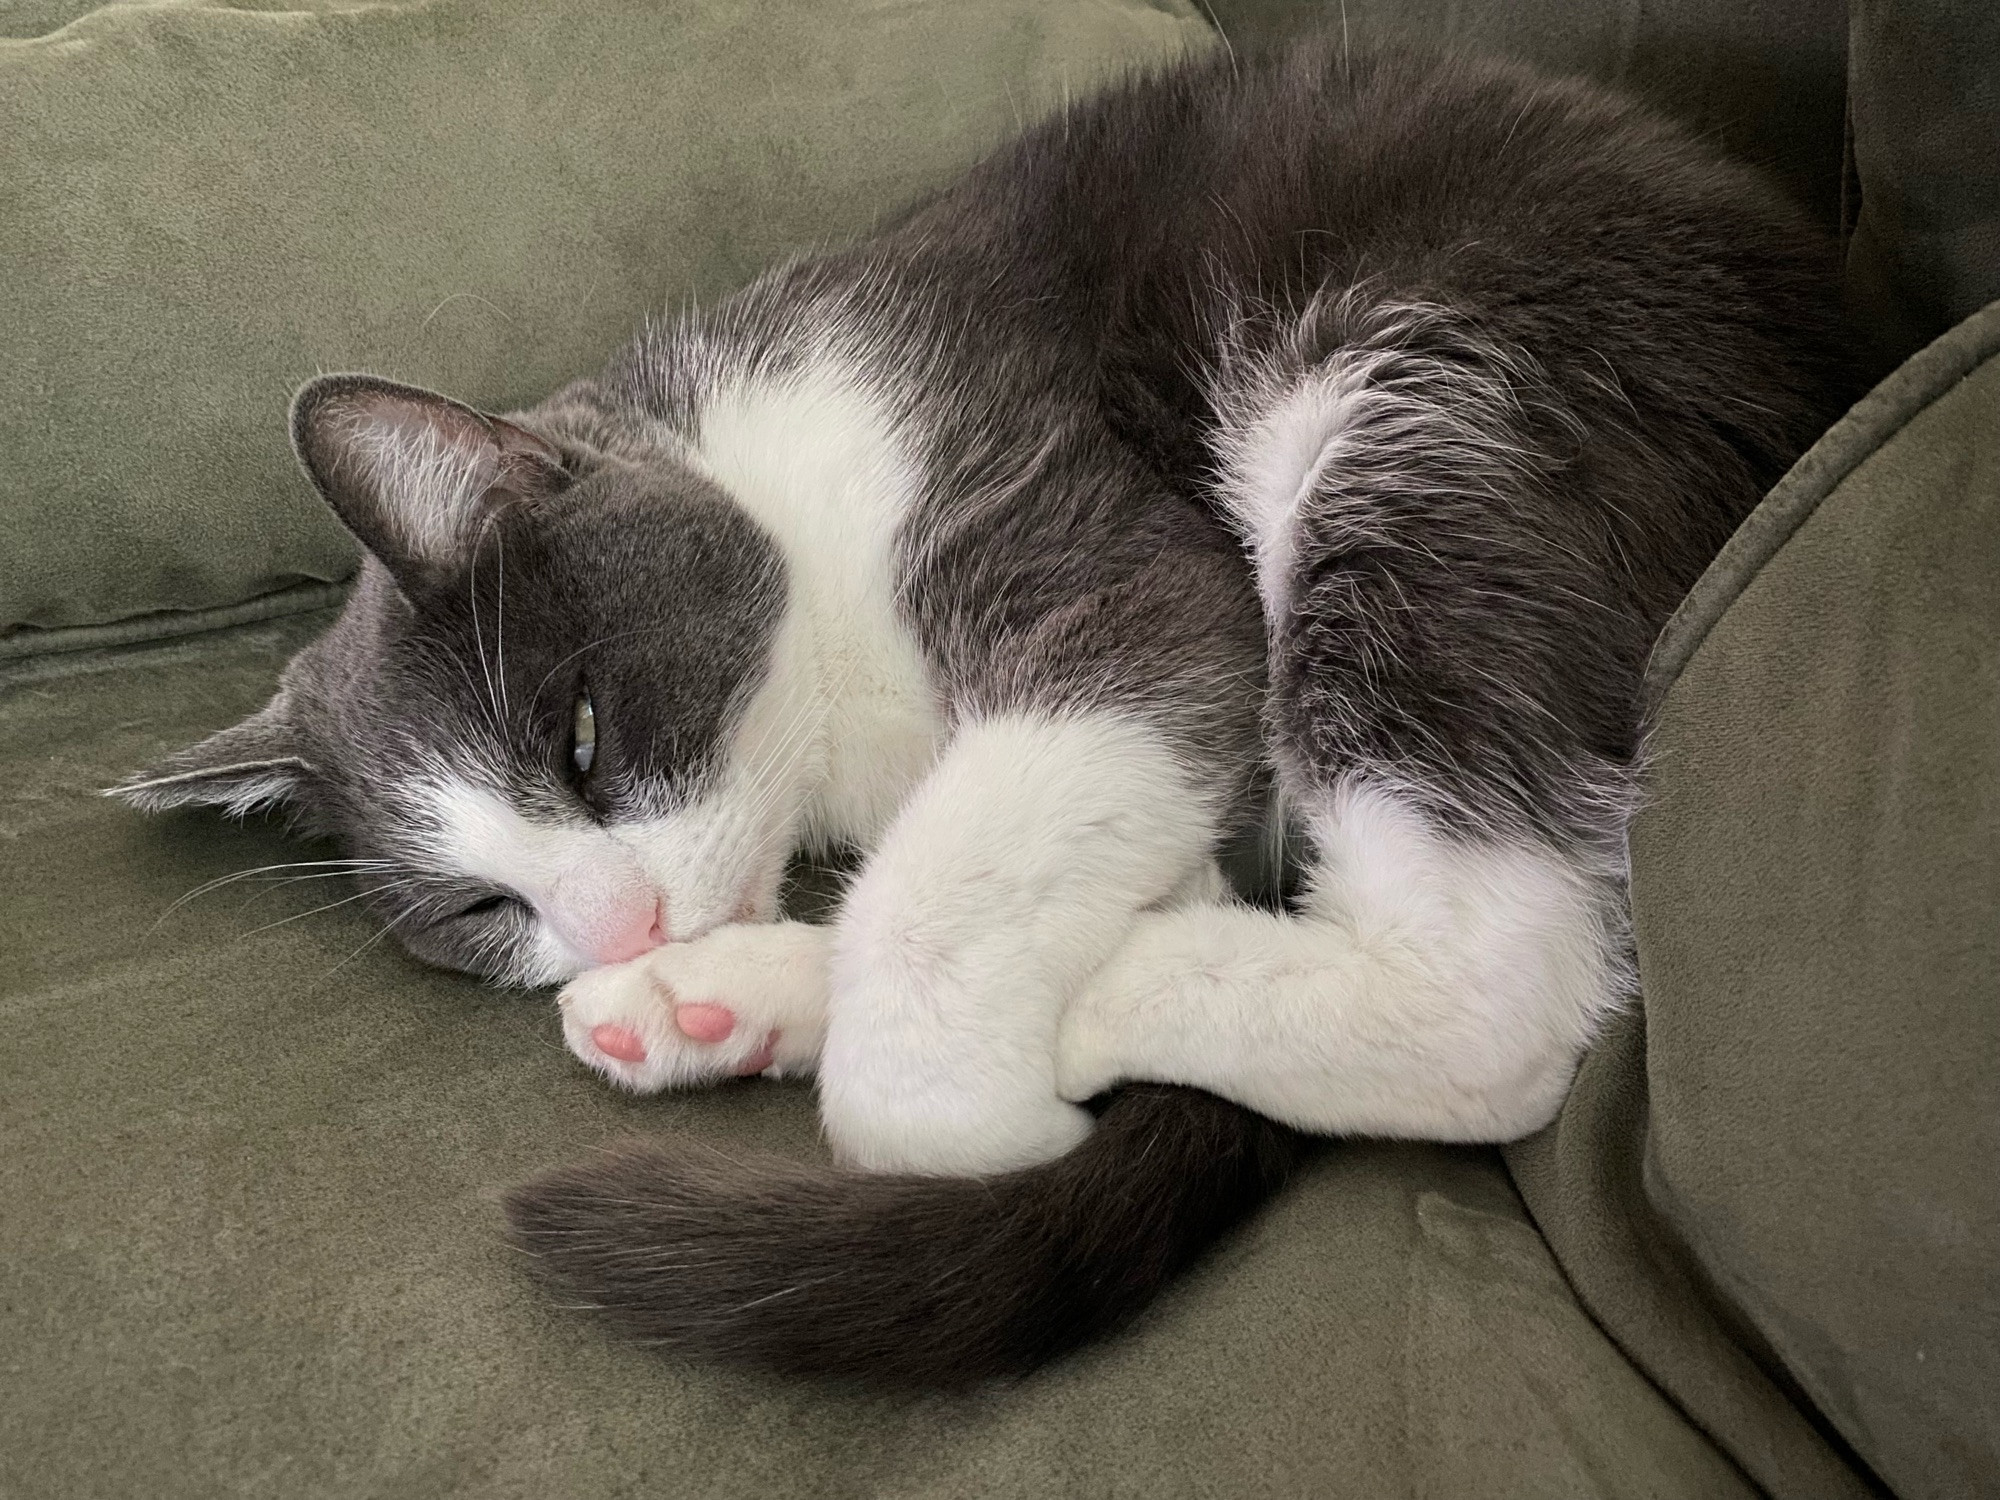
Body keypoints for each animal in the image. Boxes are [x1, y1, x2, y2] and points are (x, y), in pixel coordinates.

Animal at [117, 41, 1848, 1392]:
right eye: (481, 909)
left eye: (582, 740)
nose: (617, 931)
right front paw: (735, 982)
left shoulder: (1075, 515)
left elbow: (977, 887)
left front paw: (960, 1099)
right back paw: (717, 1001)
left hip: (1440, 400)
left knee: (1492, 1005)